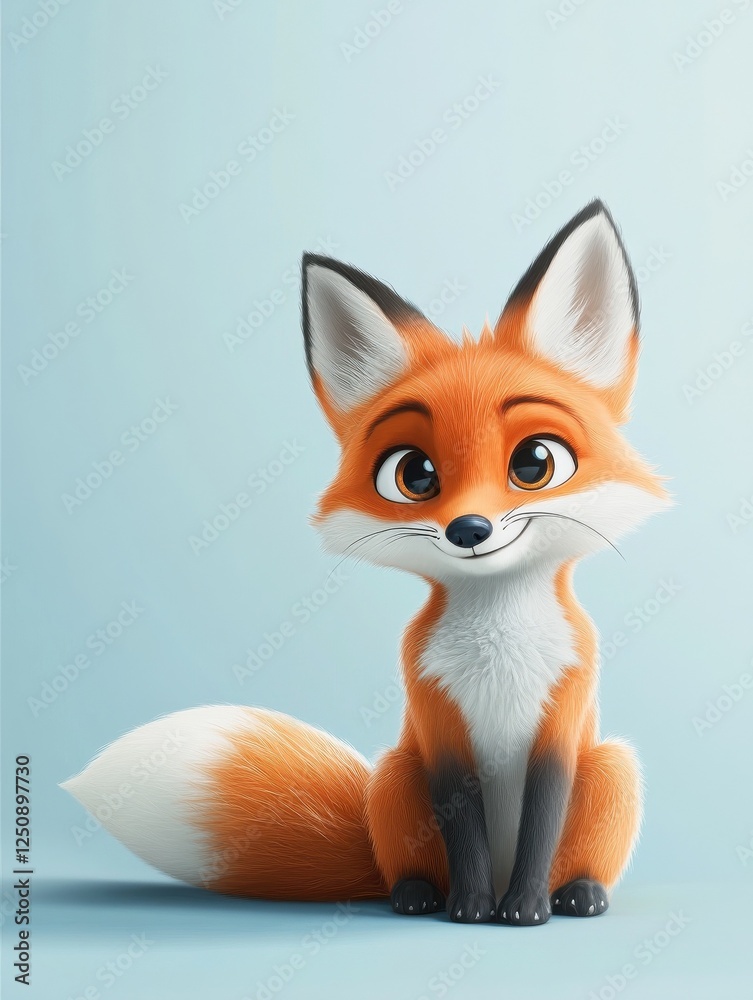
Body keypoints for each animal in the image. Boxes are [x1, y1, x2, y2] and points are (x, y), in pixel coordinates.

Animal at [63, 200, 670, 925]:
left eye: (534, 463)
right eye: (414, 474)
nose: (468, 529)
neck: (498, 640)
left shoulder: (562, 722)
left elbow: (542, 826)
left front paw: (525, 908)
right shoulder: (437, 728)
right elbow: (462, 832)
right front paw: (469, 909)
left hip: (610, 766)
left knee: (573, 851)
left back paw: (576, 892)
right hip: (393, 774)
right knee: (405, 869)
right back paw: (417, 895)